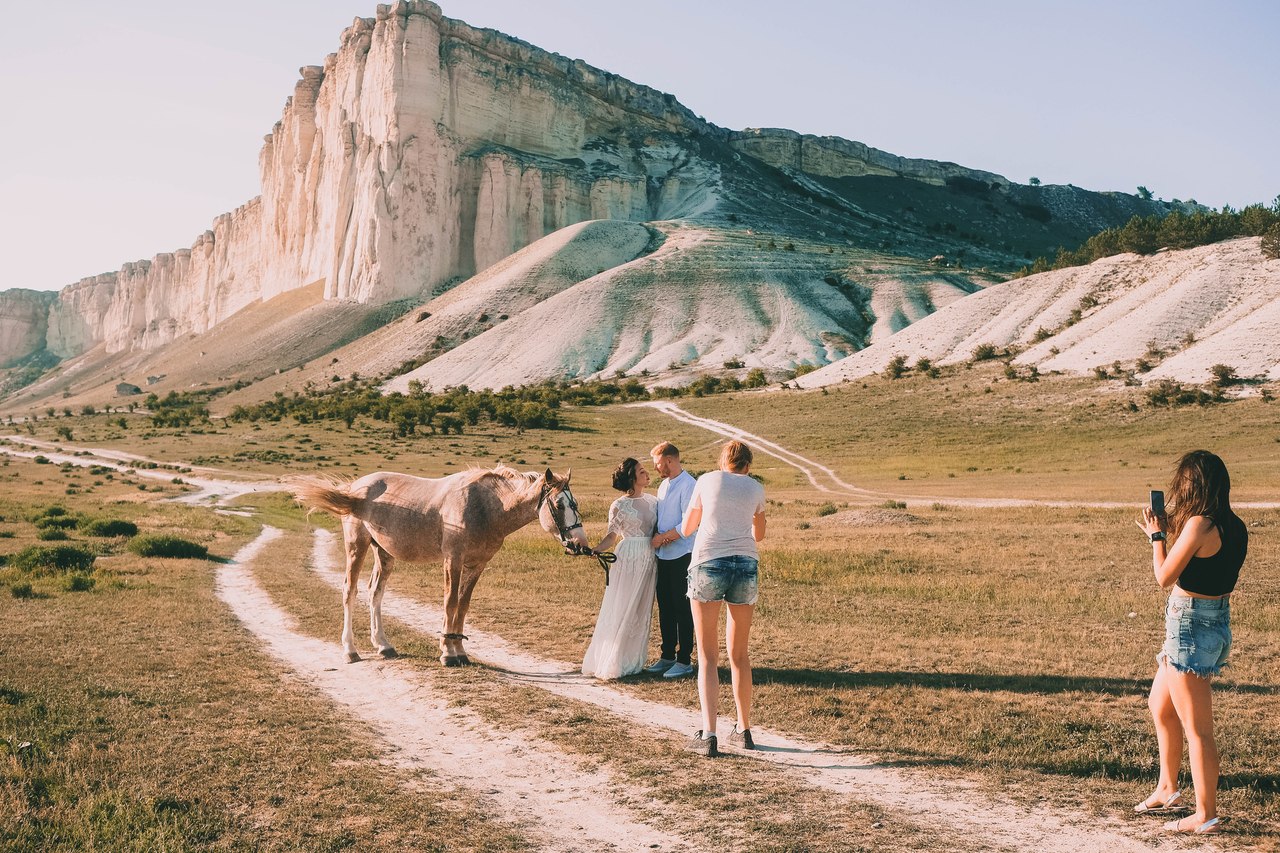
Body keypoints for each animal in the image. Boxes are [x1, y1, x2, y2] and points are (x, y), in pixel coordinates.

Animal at [288, 466, 586, 666]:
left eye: (575, 504)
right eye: (559, 505)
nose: (579, 544)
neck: (484, 507)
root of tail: (354, 488)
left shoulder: (476, 565)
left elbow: (463, 605)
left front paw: (460, 651)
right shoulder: (453, 560)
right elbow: (449, 602)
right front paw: (447, 652)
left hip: (384, 554)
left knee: (375, 593)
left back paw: (384, 645)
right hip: (356, 547)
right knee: (350, 592)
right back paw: (350, 650)